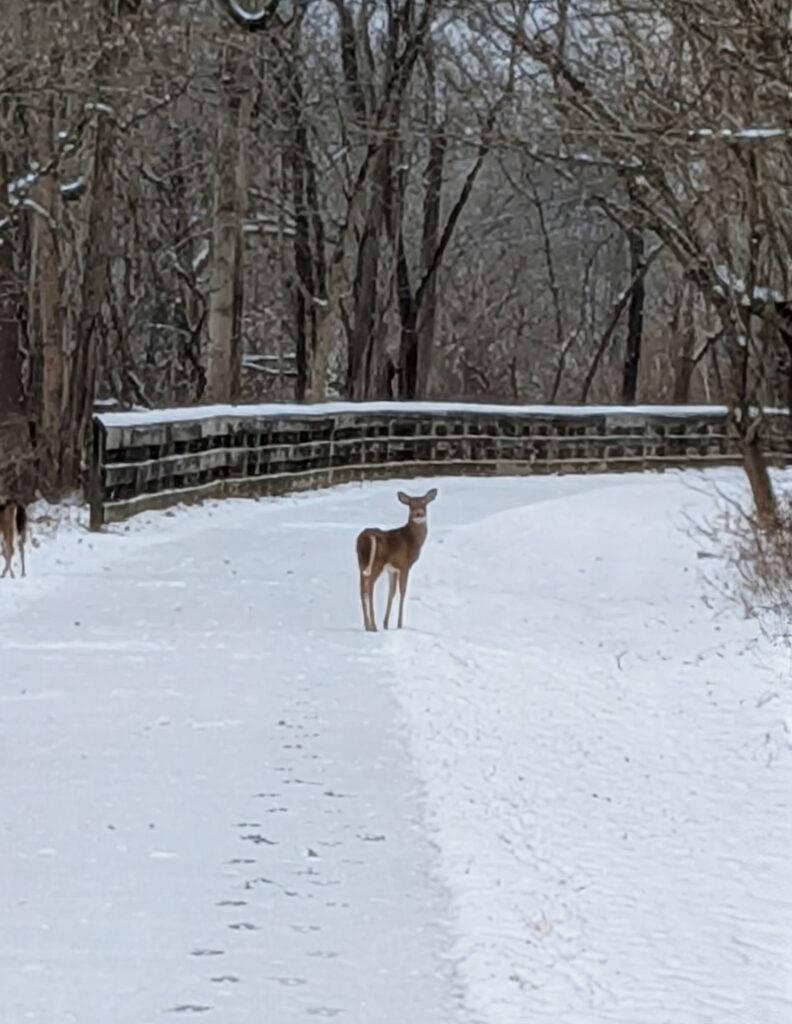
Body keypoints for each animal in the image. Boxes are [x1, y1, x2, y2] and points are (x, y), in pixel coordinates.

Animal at [355, 488, 438, 632]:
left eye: (424, 503)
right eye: (411, 505)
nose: (419, 514)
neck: (411, 540)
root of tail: (367, 536)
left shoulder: (391, 569)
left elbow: (391, 592)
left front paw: (386, 624)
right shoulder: (404, 564)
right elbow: (402, 591)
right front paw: (399, 625)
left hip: (361, 562)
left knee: (362, 589)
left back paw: (367, 626)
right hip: (377, 563)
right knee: (369, 587)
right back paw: (373, 626)